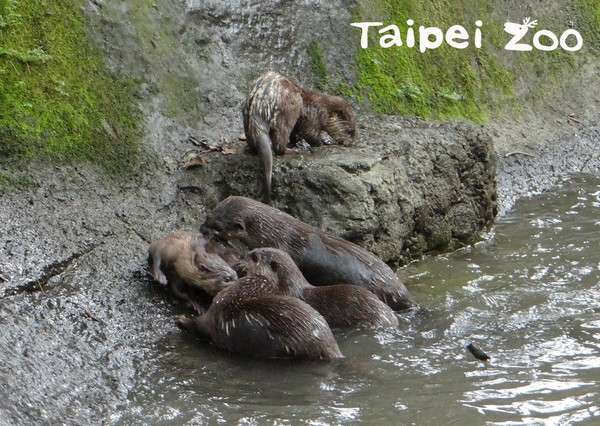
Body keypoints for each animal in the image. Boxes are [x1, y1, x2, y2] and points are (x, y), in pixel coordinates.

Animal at [241, 70, 354, 204]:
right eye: (350, 132)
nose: (351, 142)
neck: (321, 106)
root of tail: (259, 108)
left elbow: (296, 133)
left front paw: (297, 140)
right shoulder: (313, 116)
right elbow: (310, 134)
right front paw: (327, 144)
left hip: (247, 118)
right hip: (287, 112)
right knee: (279, 144)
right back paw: (293, 150)